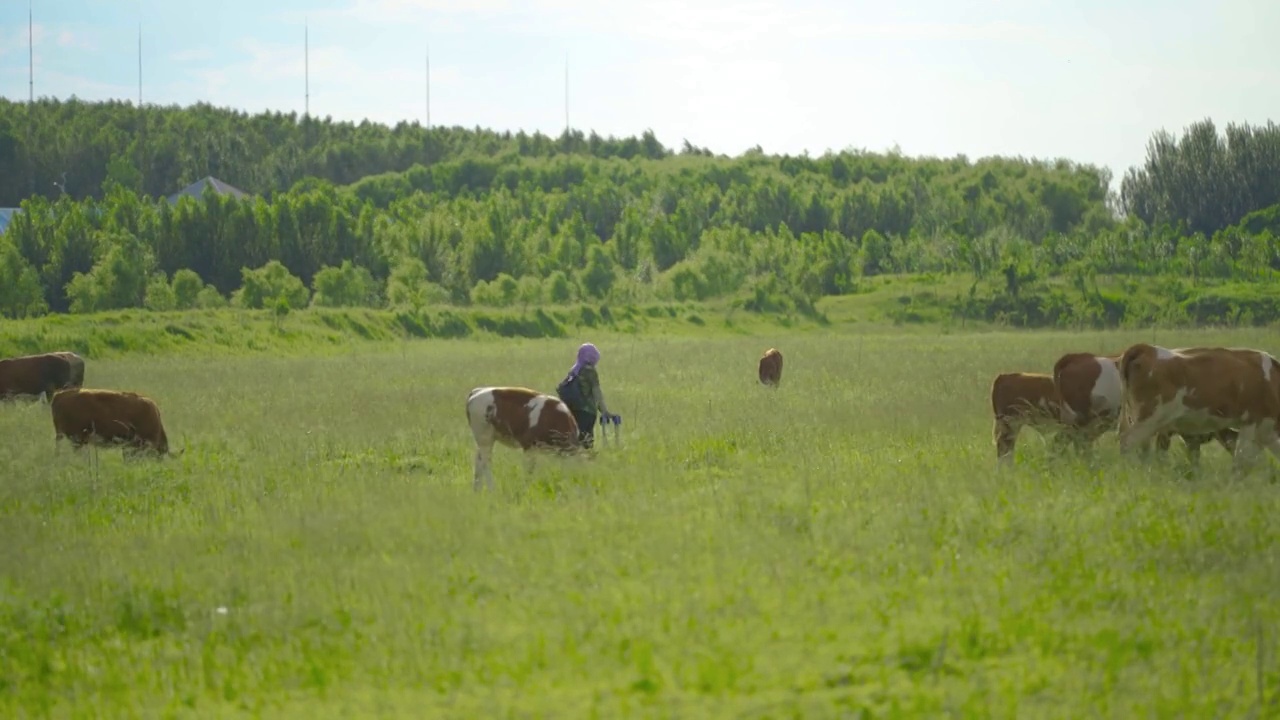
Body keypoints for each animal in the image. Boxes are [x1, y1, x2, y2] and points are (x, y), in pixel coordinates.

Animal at [1116, 343, 1280, 474]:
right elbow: (1241, 461)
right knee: (1127, 441)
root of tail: (1147, 348)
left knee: (1140, 447)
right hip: (1150, 418)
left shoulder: (1266, 431)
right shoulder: (1251, 423)